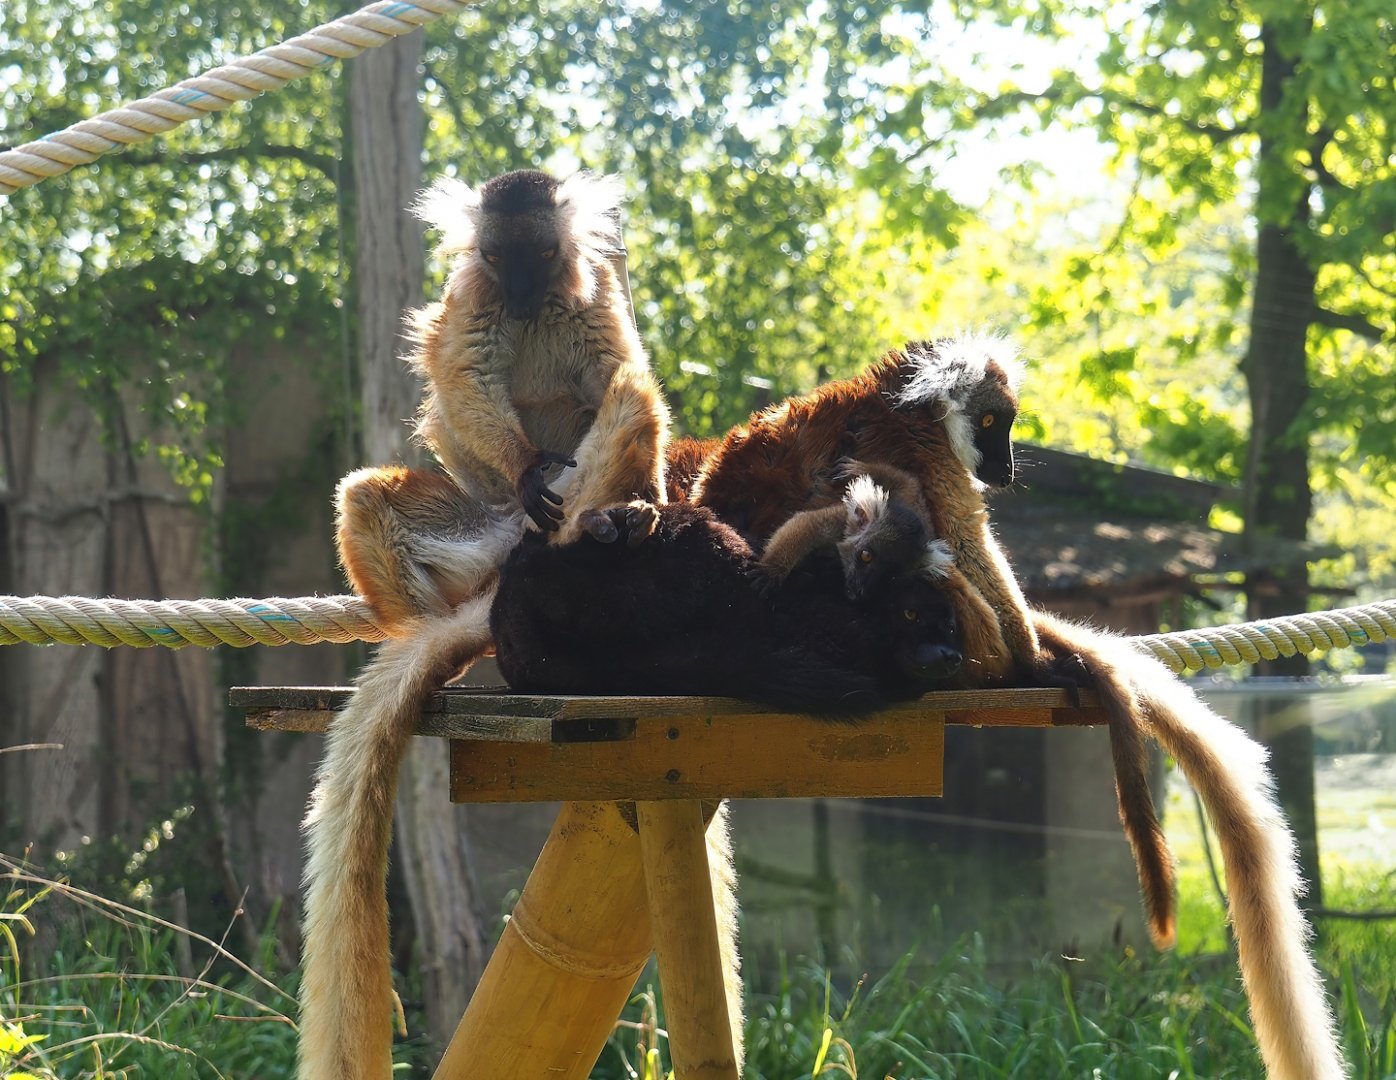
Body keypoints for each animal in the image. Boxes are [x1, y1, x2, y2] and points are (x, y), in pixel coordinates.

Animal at [302, 169, 672, 1080]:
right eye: (500, 258)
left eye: (539, 253)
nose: (523, 289)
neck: (534, 306)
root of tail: (509, 563)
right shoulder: (473, 296)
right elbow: (462, 375)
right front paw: (530, 464)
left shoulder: (590, 286)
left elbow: (618, 366)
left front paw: (659, 497)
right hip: (485, 529)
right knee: (367, 497)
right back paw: (439, 643)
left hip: (569, 502)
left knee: (631, 394)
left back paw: (620, 520)